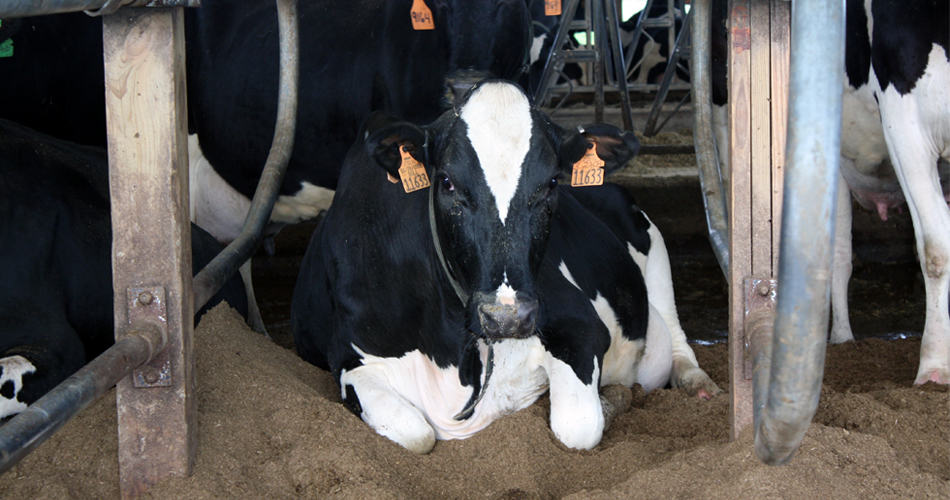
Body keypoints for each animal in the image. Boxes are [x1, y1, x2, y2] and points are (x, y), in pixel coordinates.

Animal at [294, 82, 716, 454]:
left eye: (551, 183)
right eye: (446, 182)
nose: (506, 317)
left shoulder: (580, 325)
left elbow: (576, 427)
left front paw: (612, 399)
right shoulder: (351, 360)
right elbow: (416, 433)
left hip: (651, 241)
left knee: (675, 332)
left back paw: (696, 381)